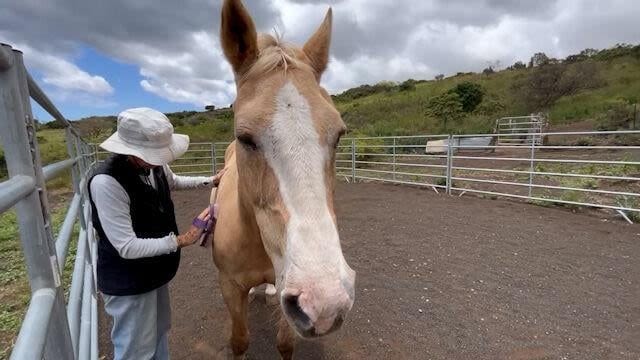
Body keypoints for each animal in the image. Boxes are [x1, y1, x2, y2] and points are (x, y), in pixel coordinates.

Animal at [212, 0, 358, 358]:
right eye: (245, 137)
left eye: (339, 134)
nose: (326, 302)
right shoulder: (229, 286)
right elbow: (239, 340)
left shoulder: (287, 292)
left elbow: (284, 343)